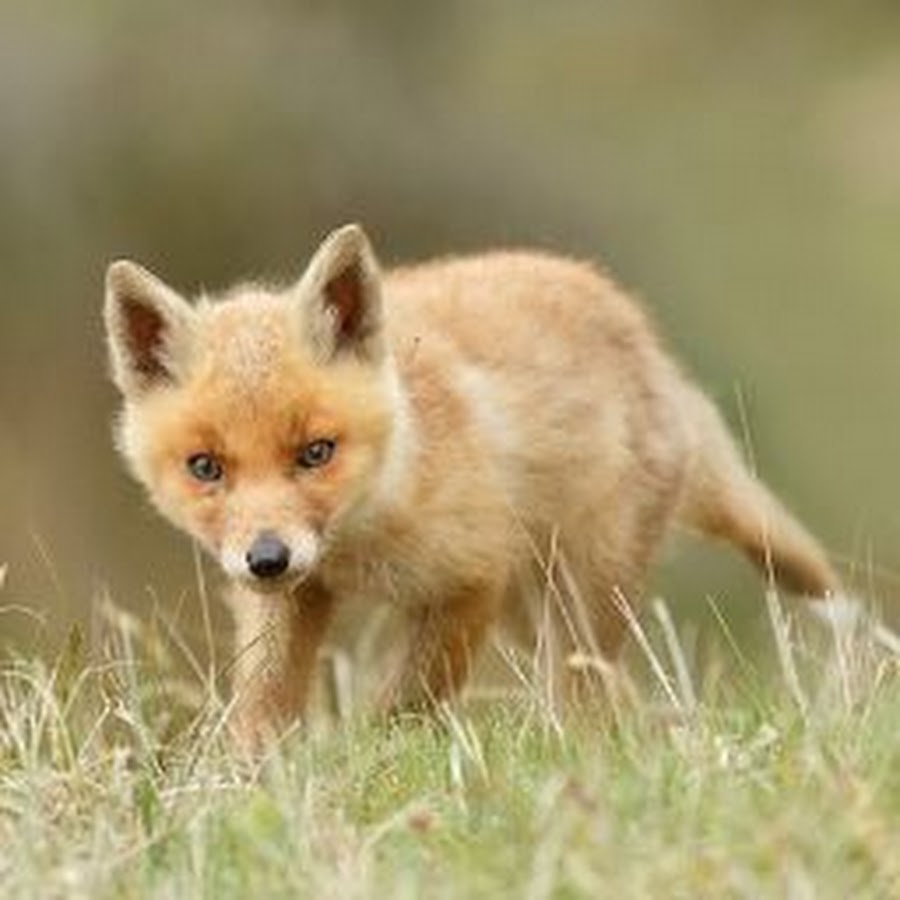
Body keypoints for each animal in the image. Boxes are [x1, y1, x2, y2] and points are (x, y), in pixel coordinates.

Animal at [103, 225, 844, 752]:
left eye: (316, 453)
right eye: (205, 467)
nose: (265, 558)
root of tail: (651, 345)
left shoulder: (470, 580)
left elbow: (405, 703)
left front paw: (372, 766)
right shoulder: (293, 600)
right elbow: (260, 706)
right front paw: (248, 788)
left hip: (579, 594)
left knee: (585, 692)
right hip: (531, 610)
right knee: (618, 697)